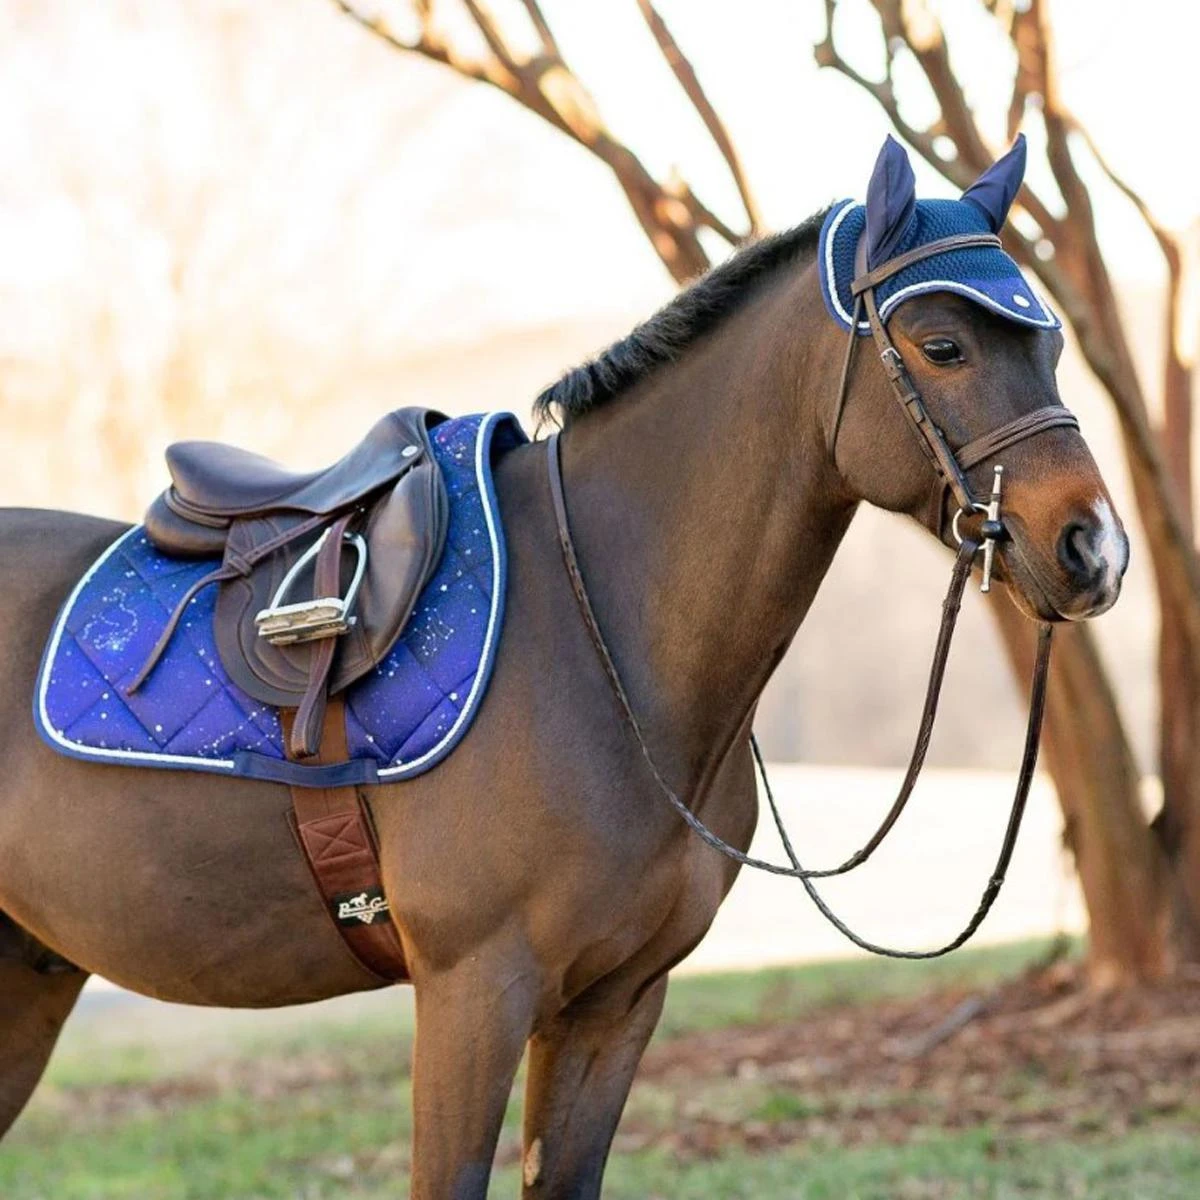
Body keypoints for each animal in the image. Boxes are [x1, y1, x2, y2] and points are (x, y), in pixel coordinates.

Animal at [0, 137, 1127, 1197]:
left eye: (1052, 347)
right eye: (941, 345)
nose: (1096, 550)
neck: (603, 641)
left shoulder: (617, 1002)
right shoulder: (474, 993)